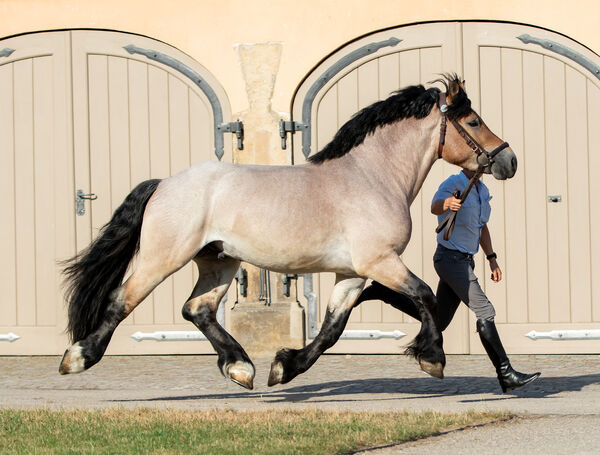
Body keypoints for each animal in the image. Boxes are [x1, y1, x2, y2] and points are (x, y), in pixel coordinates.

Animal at [58, 75, 516, 392]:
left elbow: (331, 329)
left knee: (198, 309)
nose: (508, 160)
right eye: (473, 120)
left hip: (219, 261)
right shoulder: (380, 262)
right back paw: (78, 356)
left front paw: (284, 367)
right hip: (163, 256)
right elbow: (423, 295)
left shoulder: (352, 274)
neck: (372, 176)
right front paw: (432, 358)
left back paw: (241, 367)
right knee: (122, 300)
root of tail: (164, 184)